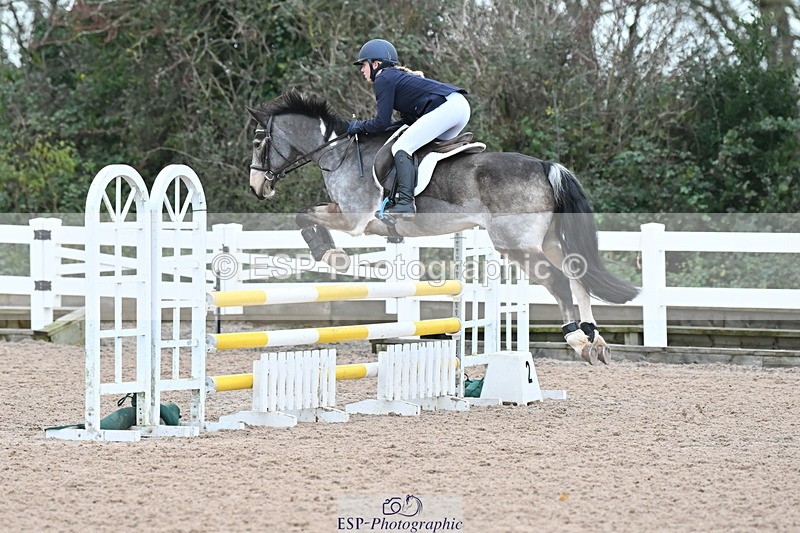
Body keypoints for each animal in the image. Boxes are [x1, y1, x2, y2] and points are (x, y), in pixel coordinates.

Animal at [246, 90, 639, 364]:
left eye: (257, 141)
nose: (257, 188)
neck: (337, 152)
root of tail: (546, 166)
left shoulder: (354, 219)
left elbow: (304, 215)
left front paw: (332, 255)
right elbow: (306, 214)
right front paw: (330, 253)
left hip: (516, 245)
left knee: (558, 281)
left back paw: (577, 340)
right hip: (548, 241)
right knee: (577, 274)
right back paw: (595, 340)